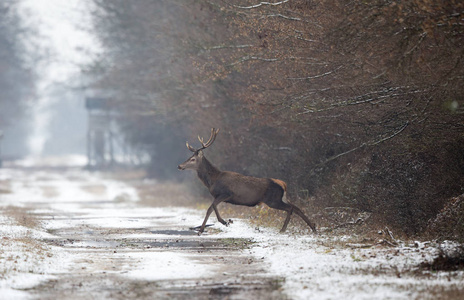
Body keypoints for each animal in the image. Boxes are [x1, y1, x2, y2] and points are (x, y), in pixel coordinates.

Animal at [176, 128, 318, 234]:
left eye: (193, 159)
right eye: (189, 157)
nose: (179, 166)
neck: (212, 180)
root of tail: (283, 184)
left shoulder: (226, 193)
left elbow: (211, 207)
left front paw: (221, 223)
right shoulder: (219, 196)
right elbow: (211, 208)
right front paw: (208, 227)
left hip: (273, 200)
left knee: (291, 208)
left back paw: (283, 229)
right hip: (281, 198)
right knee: (296, 207)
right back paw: (313, 227)